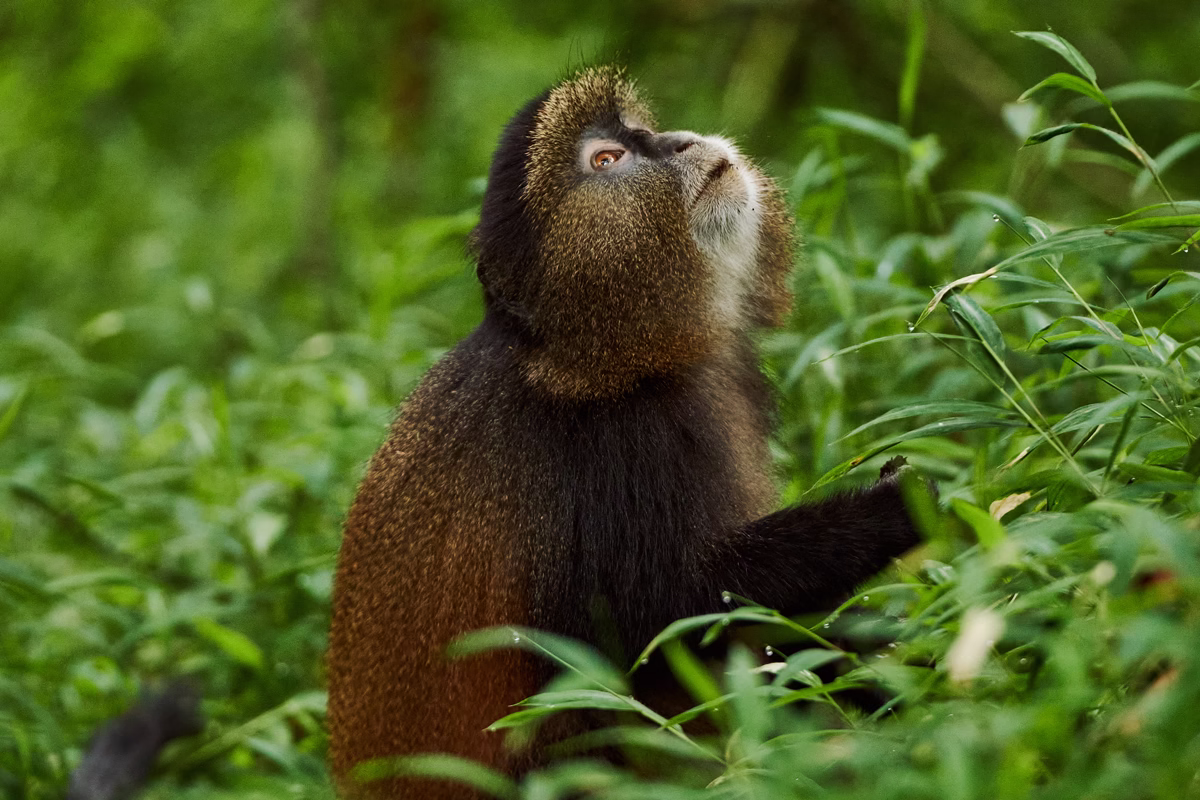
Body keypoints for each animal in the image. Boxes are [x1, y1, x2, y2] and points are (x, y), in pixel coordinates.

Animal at [326, 66, 925, 799]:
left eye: (637, 131)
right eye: (608, 160)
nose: (675, 142)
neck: (609, 360)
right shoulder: (609, 449)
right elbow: (666, 620)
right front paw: (892, 509)